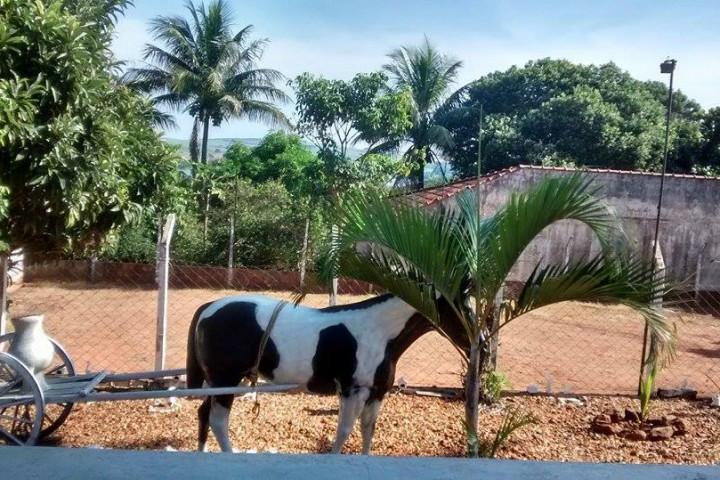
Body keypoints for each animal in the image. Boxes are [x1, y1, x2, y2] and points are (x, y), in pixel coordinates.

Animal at [186, 292, 464, 454]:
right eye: (457, 305)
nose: (472, 338)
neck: (379, 331)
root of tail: (209, 307)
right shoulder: (352, 392)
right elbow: (344, 432)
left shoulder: (376, 394)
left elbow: (367, 431)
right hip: (226, 380)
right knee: (218, 421)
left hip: (224, 382)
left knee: (203, 414)